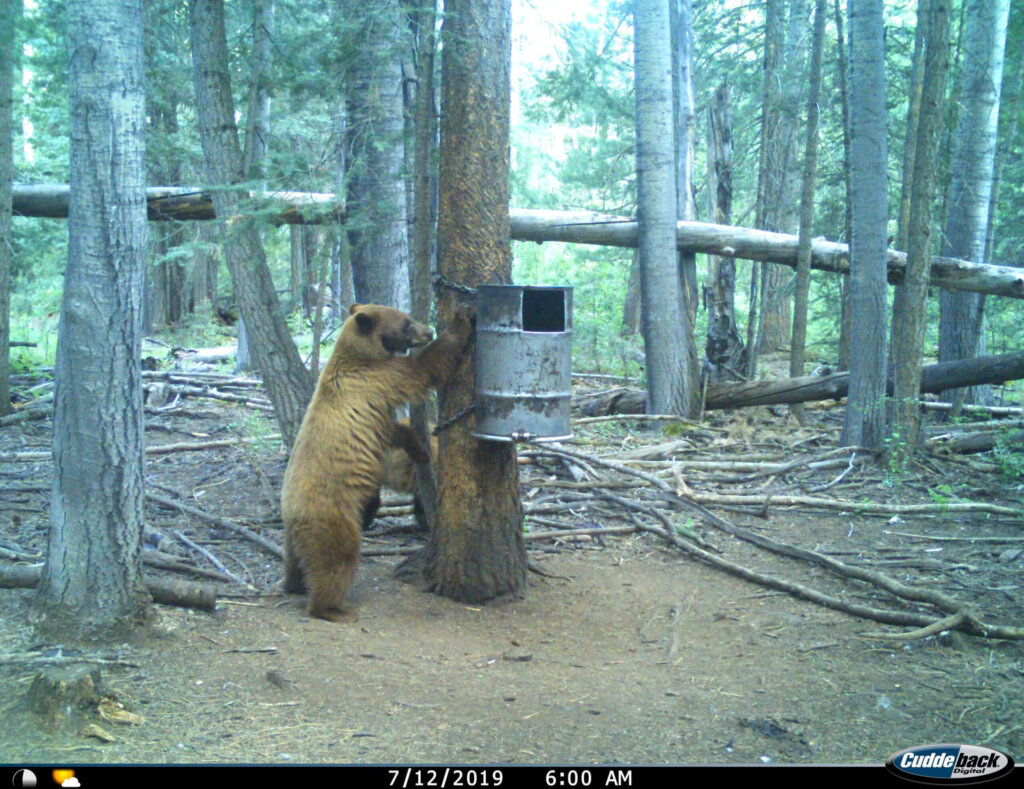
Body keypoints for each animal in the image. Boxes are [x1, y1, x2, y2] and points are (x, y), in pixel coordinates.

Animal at [280, 304, 471, 622]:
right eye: (406, 322)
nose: (428, 330)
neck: (361, 353)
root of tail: (293, 514)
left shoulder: (375, 404)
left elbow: (394, 430)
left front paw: (421, 450)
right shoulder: (376, 379)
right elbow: (422, 369)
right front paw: (461, 322)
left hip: (293, 534)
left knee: (294, 560)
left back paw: (294, 584)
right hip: (332, 516)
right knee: (337, 557)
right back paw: (333, 608)